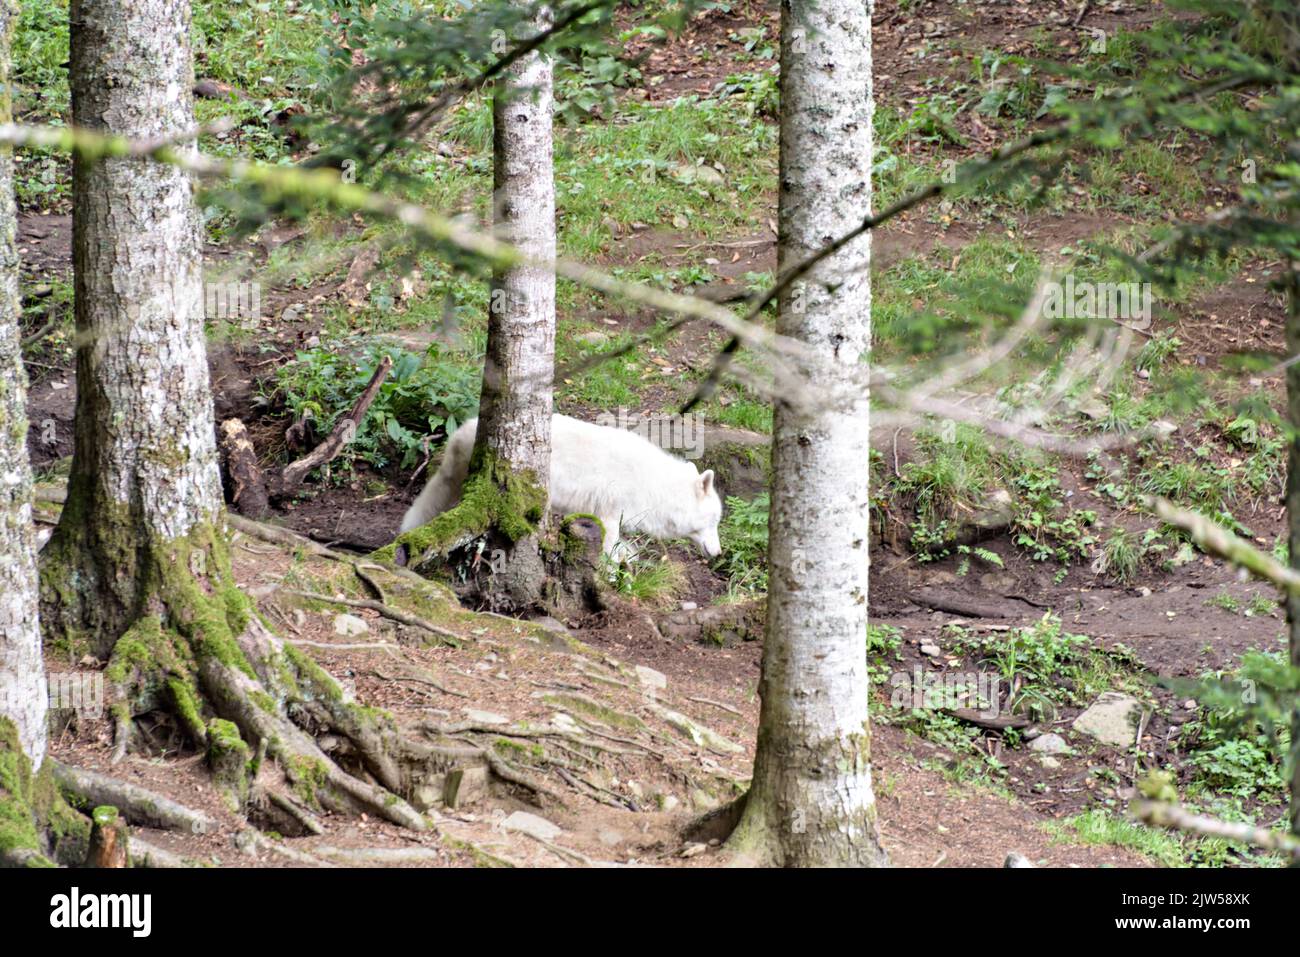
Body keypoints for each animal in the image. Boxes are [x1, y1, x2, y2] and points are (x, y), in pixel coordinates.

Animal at [397, 413, 722, 561]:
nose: (719, 553)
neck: (654, 487)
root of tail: (461, 431)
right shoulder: (609, 515)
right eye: (715, 522)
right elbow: (609, 550)